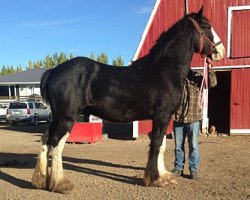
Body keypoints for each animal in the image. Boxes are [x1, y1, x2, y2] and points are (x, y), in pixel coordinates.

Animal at [31, 7, 225, 193]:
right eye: (207, 26)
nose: (221, 51)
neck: (164, 70)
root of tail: (53, 72)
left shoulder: (163, 117)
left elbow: (161, 146)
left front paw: (163, 176)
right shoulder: (162, 116)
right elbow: (156, 145)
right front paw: (155, 179)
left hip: (57, 118)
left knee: (45, 141)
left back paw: (41, 180)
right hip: (67, 118)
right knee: (56, 145)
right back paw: (60, 184)